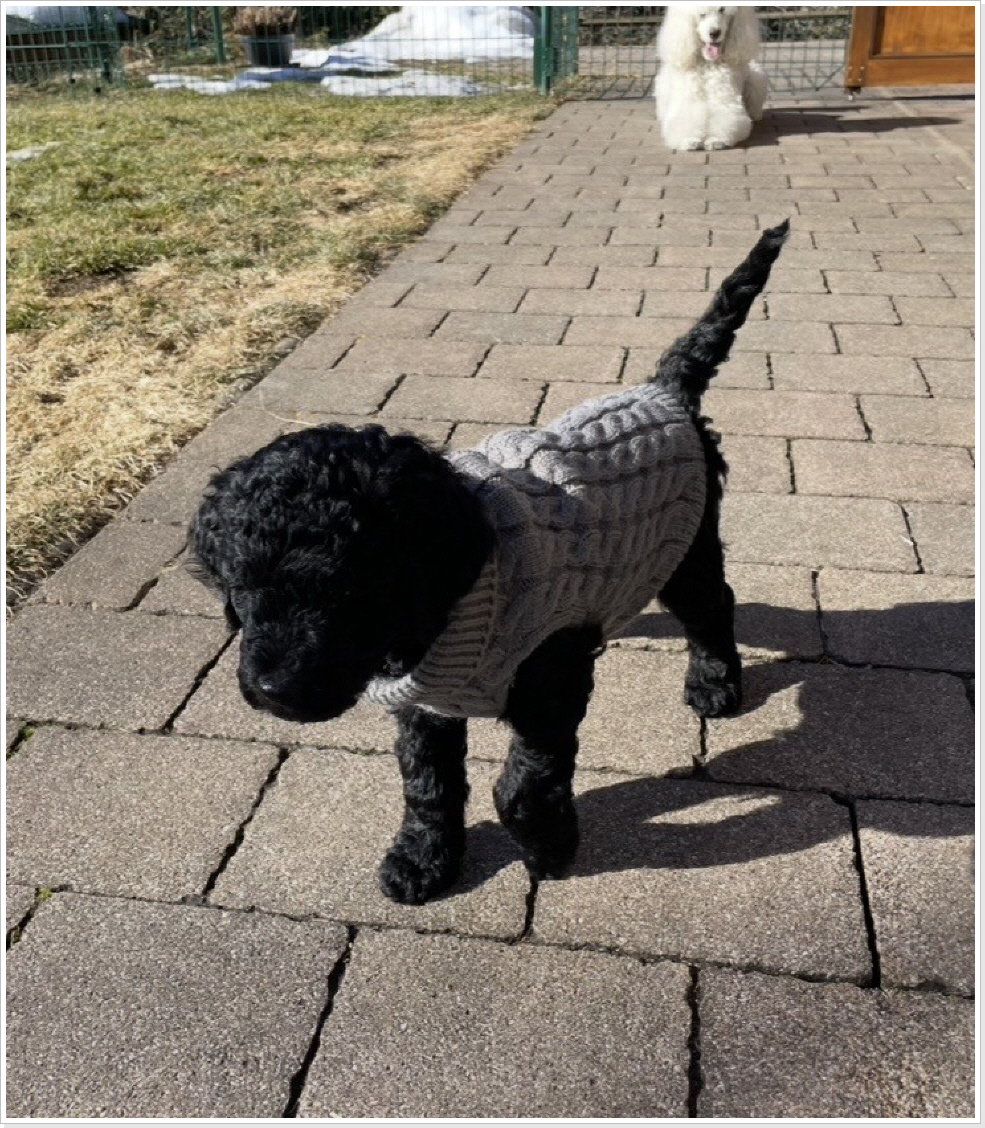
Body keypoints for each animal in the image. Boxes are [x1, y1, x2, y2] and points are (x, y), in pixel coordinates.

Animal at [189, 222, 789, 905]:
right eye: (241, 586)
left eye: (354, 590)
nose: (274, 691)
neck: (457, 594)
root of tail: (663, 389)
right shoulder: (427, 704)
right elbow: (428, 786)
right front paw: (423, 859)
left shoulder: (551, 678)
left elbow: (521, 786)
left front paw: (550, 849)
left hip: (686, 545)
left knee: (713, 605)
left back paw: (715, 682)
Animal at [655, 4, 768, 151]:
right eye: (701, 14)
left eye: (722, 10)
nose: (714, 33)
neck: (708, 63)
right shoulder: (688, 101)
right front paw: (689, 139)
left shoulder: (725, 101)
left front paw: (716, 139)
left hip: (756, 79)